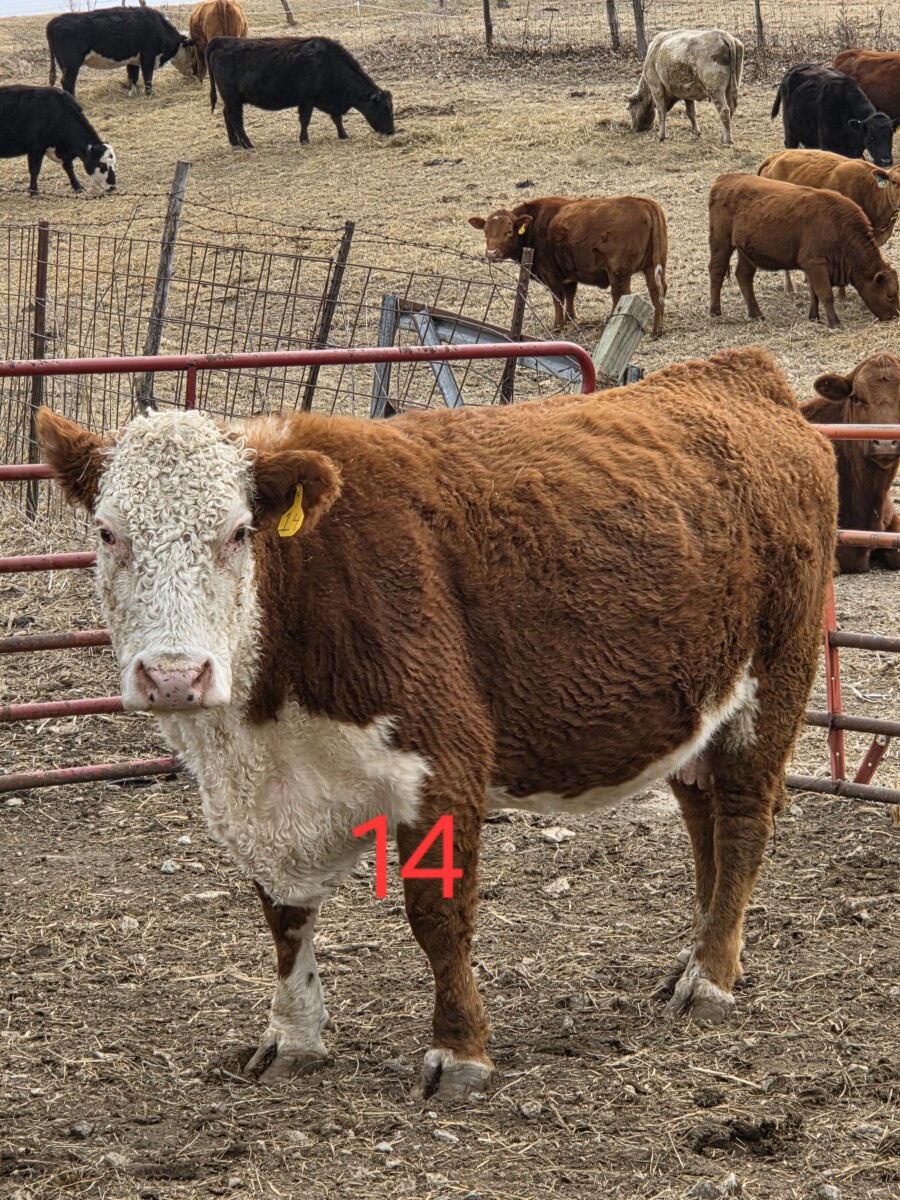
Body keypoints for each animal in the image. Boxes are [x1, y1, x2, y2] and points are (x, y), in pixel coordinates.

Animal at [38, 346, 837, 1099]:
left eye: (237, 533)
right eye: (107, 533)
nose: (175, 675)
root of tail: (734, 373)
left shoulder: (443, 762)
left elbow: (438, 916)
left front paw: (459, 1053)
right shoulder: (255, 798)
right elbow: (283, 917)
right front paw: (293, 1037)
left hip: (775, 679)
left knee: (742, 818)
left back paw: (710, 979)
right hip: (696, 700)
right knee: (704, 815)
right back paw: (698, 954)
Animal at [46, 7, 193, 97]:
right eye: (191, 51)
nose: (192, 73)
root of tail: (55, 20)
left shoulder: (133, 60)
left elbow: (133, 77)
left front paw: (133, 94)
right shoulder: (148, 57)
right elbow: (148, 76)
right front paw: (149, 94)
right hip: (71, 66)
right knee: (67, 82)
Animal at [205, 36, 394, 150]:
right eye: (384, 109)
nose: (391, 131)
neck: (329, 63)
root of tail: (221, 40)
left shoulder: (328, 101)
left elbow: (337, 119)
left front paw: (344, 135)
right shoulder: (307, 100)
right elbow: (305, 120)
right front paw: (304, 139)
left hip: (231, 100)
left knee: (227, 116)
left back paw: (236, 143)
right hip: (233, 99)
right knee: (235, 119)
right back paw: (248, 144)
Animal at [468, 195, 668, 336]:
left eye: (509, 231)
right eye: (485, 231)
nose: (491, 253)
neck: (538, 222)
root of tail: (646, 203)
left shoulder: (550, 274)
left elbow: (558, 297)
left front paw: (558, 325)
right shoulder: (569, 272)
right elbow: (570, 294)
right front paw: (571, 318)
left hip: (619, 272)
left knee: (621, 295)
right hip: (653, 267)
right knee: (657, 292)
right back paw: (657, 330)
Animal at [708, 172, 900, 328]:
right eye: (890, 295)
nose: (895, 316)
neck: (838, 226)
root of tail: (724, 179)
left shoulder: (813, 267)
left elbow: (814, 293)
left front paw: (814, 317)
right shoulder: (816, 264)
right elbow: (825, 294)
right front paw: (835, 322)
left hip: (746, 252)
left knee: (744, 276)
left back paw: (756, 314)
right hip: (721, 242)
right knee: (717, 271)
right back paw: (715, 311)